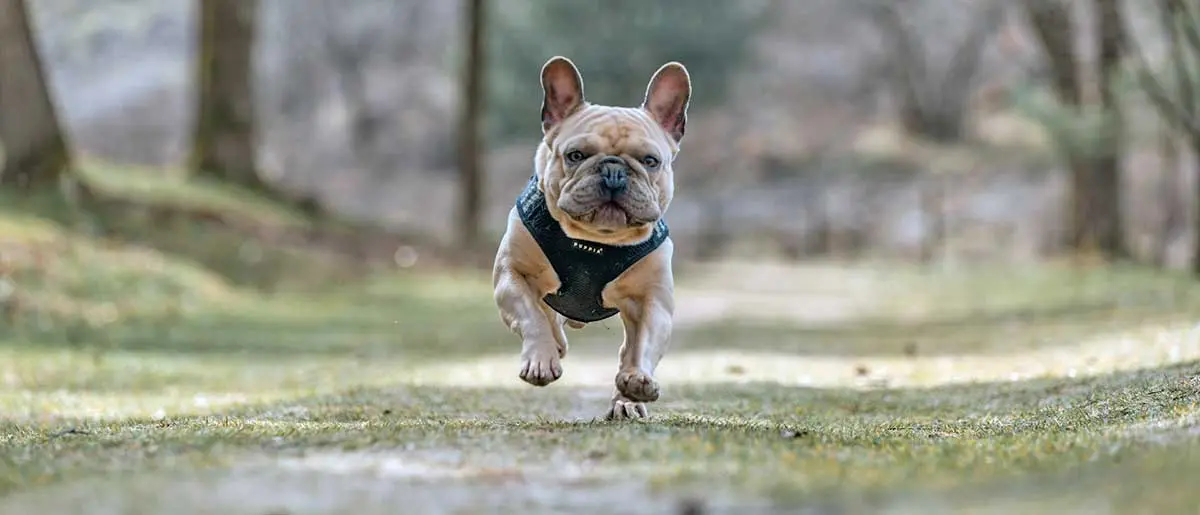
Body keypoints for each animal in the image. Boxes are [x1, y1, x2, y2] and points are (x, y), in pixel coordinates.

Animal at [489, 55, 696, 417]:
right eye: (576, 155)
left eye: (650, 161)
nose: (613, 171)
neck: (597, 240)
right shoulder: (511, 275)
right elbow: (531, 315)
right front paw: (541, 358)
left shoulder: (652, 300)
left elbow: (644, 343)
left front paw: (637, 380)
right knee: (548, 318)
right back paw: (555, 347)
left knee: (627, 350)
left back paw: (627, 400)